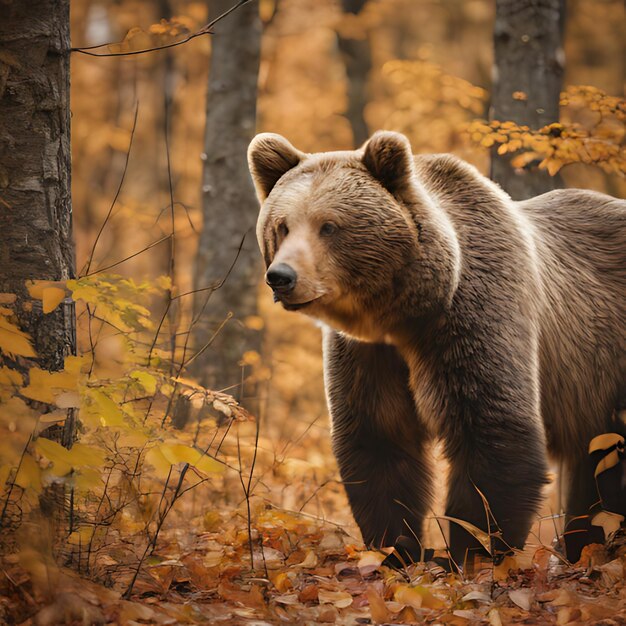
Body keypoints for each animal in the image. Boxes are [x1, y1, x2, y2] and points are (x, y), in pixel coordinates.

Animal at [246, 130, 624, 564]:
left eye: (329, 226)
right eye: (282, 226)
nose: (282, 277)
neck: (405, 316)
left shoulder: (472, 321)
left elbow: (492, 431)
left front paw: (474, 550)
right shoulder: (368, 354)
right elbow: (379, 440)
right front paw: (394, 549)